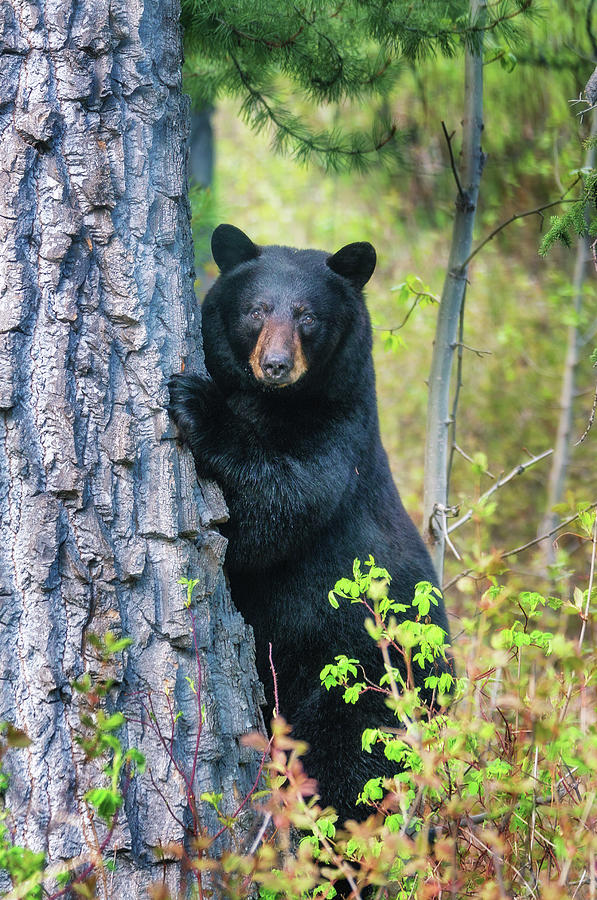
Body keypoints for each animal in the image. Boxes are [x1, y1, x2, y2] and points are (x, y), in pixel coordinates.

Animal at [170, 225, 450, 824]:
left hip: (355, 690)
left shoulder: (338, 438)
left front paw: (198, 403)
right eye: (256, 310)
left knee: (344, 777)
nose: (276, 364)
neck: (276, 402)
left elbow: (274, 509)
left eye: (308, 317)